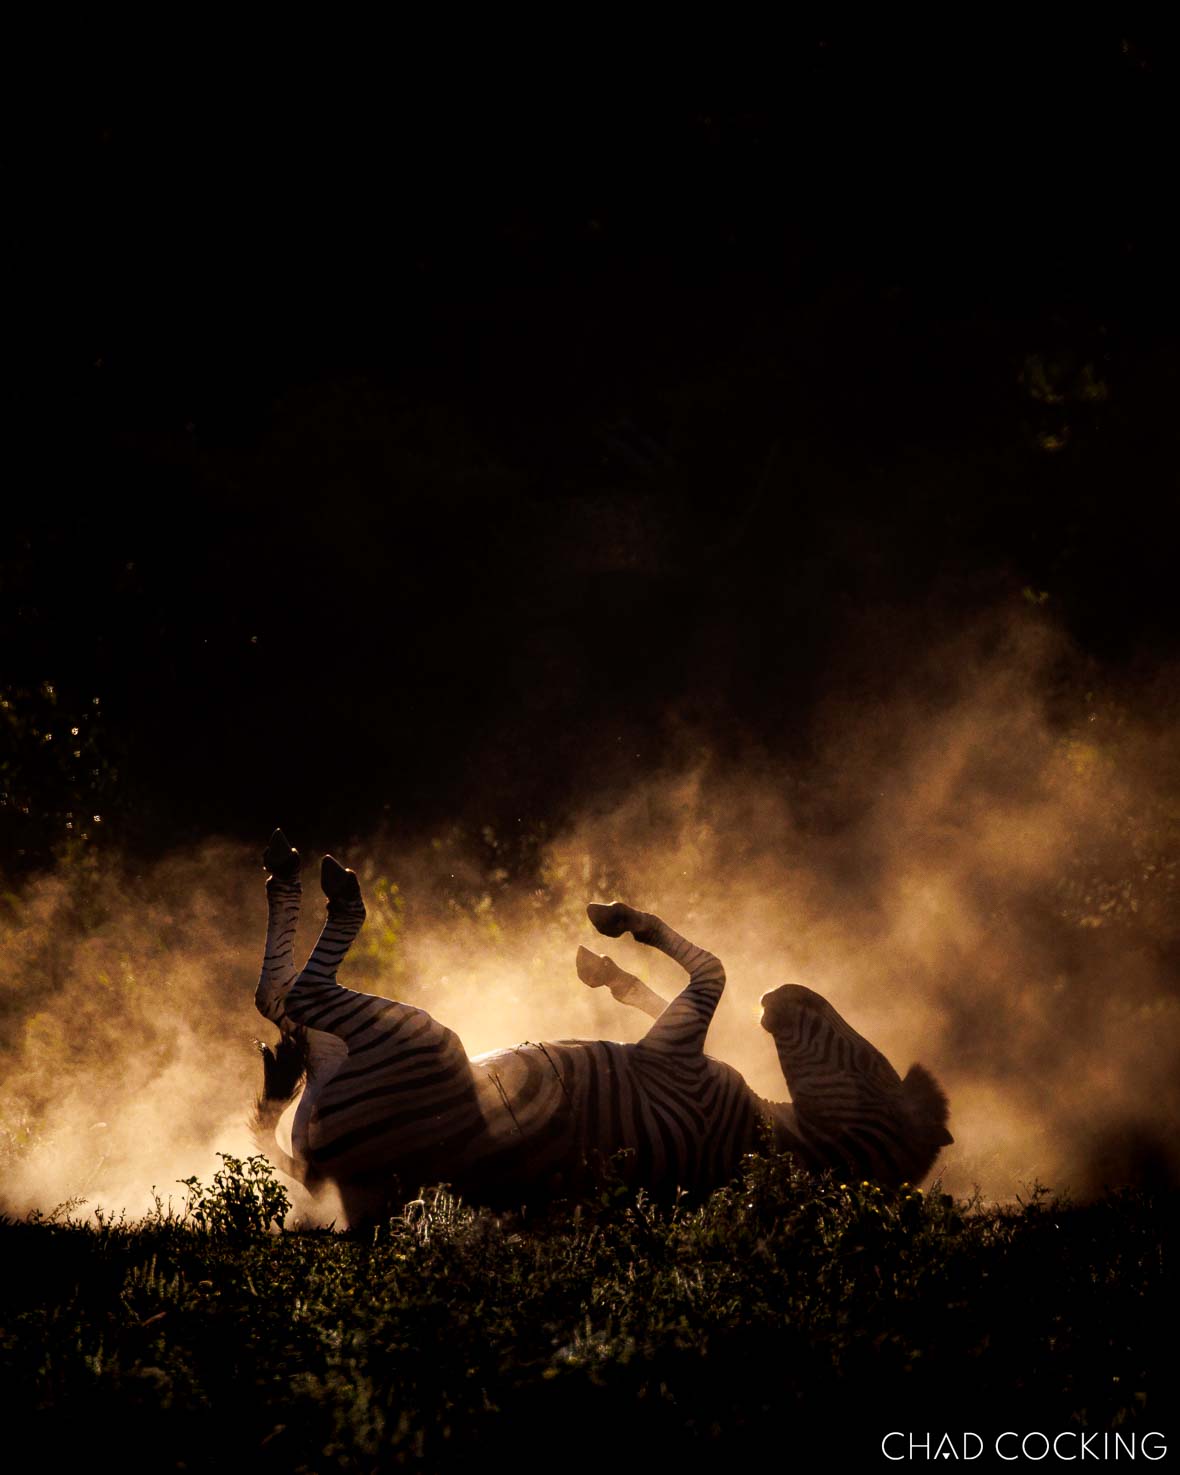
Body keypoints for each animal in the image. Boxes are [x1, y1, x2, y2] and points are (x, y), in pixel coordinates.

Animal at [253, 831, 952, 1222]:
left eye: (872, 1067)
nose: (782, 994)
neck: (781, 1141)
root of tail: (335, 1176)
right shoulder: (676, 1044)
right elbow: (666, 989)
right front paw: (611, 970)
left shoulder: (679, 1053)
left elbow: (714, 967)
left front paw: (621, 923)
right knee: (287, 1014)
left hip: (418, 1038)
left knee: (291, 995)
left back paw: (315, 880)